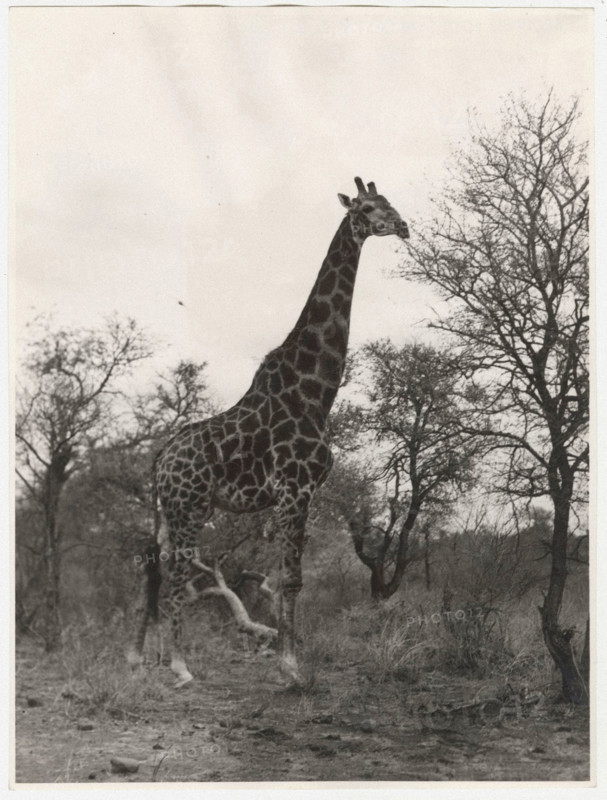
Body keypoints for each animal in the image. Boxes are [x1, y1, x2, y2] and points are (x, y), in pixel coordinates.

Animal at [129, 177, 410, 687]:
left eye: (389, 201)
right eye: (365, 207)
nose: (401, 225)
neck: (315, 392)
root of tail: (161, 455)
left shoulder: (303, 493)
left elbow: (290, 579)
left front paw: (290, 662)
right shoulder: (294, 489)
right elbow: (290, 580)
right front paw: (291, 668)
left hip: (173, 510)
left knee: (154, 567)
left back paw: (141, 660)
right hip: (188, 507)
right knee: (176, 575)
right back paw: (179, 667)